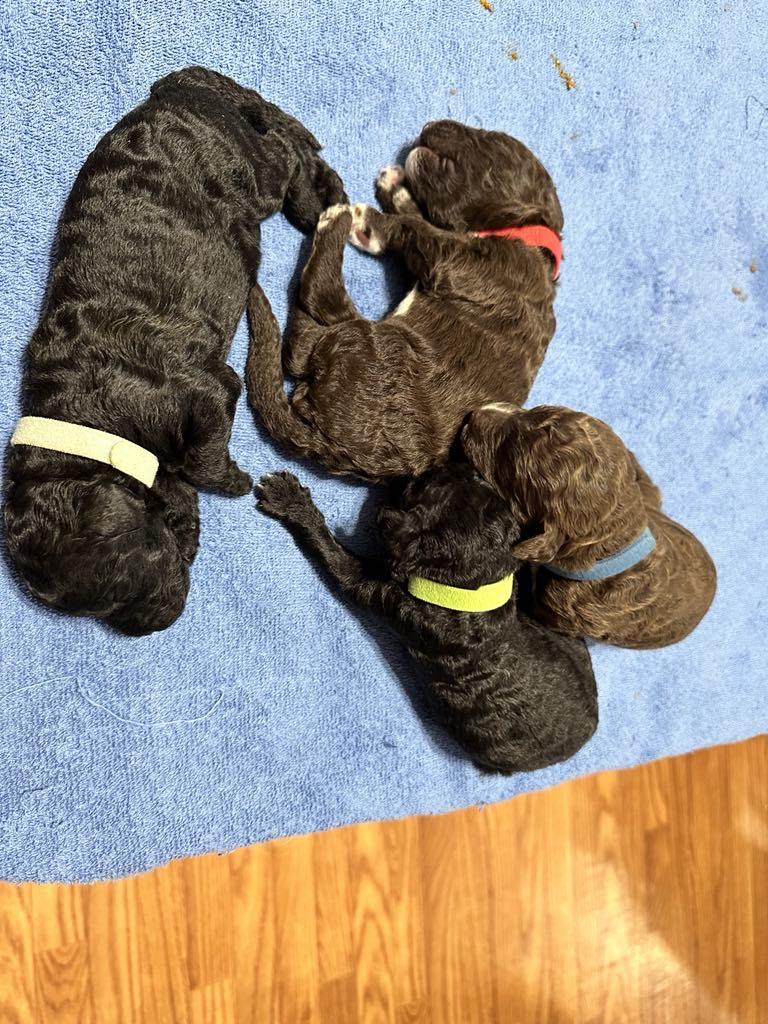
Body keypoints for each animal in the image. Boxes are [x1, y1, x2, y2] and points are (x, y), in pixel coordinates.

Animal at [4, 66, 345, 635]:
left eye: (135, 571)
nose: (158, 626)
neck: (87, 424)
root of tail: (177, 89)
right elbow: (181, 472)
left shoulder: (210, 392)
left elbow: (203, 461)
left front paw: (235, 482)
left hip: (251, 171)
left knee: (283, 147)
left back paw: (316, 194)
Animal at [246, 120, 563, 479]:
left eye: (490, 138)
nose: (430, 124)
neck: (527, 233)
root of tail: (328, 445)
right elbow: (419, 220)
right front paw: (397, 190)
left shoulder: (463, 262)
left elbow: (413, 226)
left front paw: (370, 221)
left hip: (366, 342)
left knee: (311, 320)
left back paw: (336, 221)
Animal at [255, 464, 598, 774]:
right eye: (474, 476)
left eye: (419, 485)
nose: (407, 471)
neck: (468, 593)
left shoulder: (384, 597)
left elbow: (336, 558)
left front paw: (290, 501)